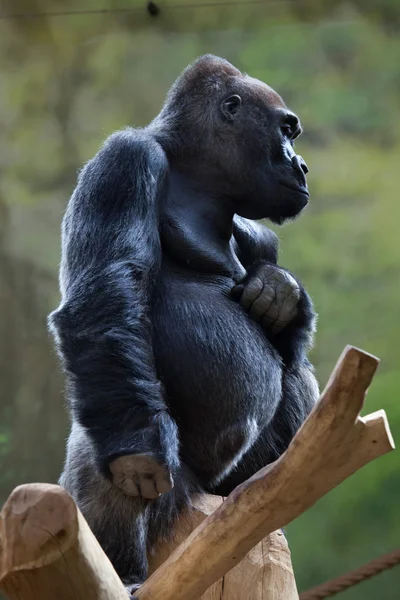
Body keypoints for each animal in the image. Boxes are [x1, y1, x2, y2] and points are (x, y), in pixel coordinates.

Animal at [49, 55, 318, 596]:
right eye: (286, 130)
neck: (197, 177)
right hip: (177, 480)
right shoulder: (124, 159)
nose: (301, 166)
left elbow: (284, 326)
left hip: (226, 486)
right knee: (101, 438)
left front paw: (281, 292)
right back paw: (123, 571)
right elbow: (107, 293)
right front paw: (135, 452)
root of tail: (206, 492)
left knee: (295, 372)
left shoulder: (258, 234)